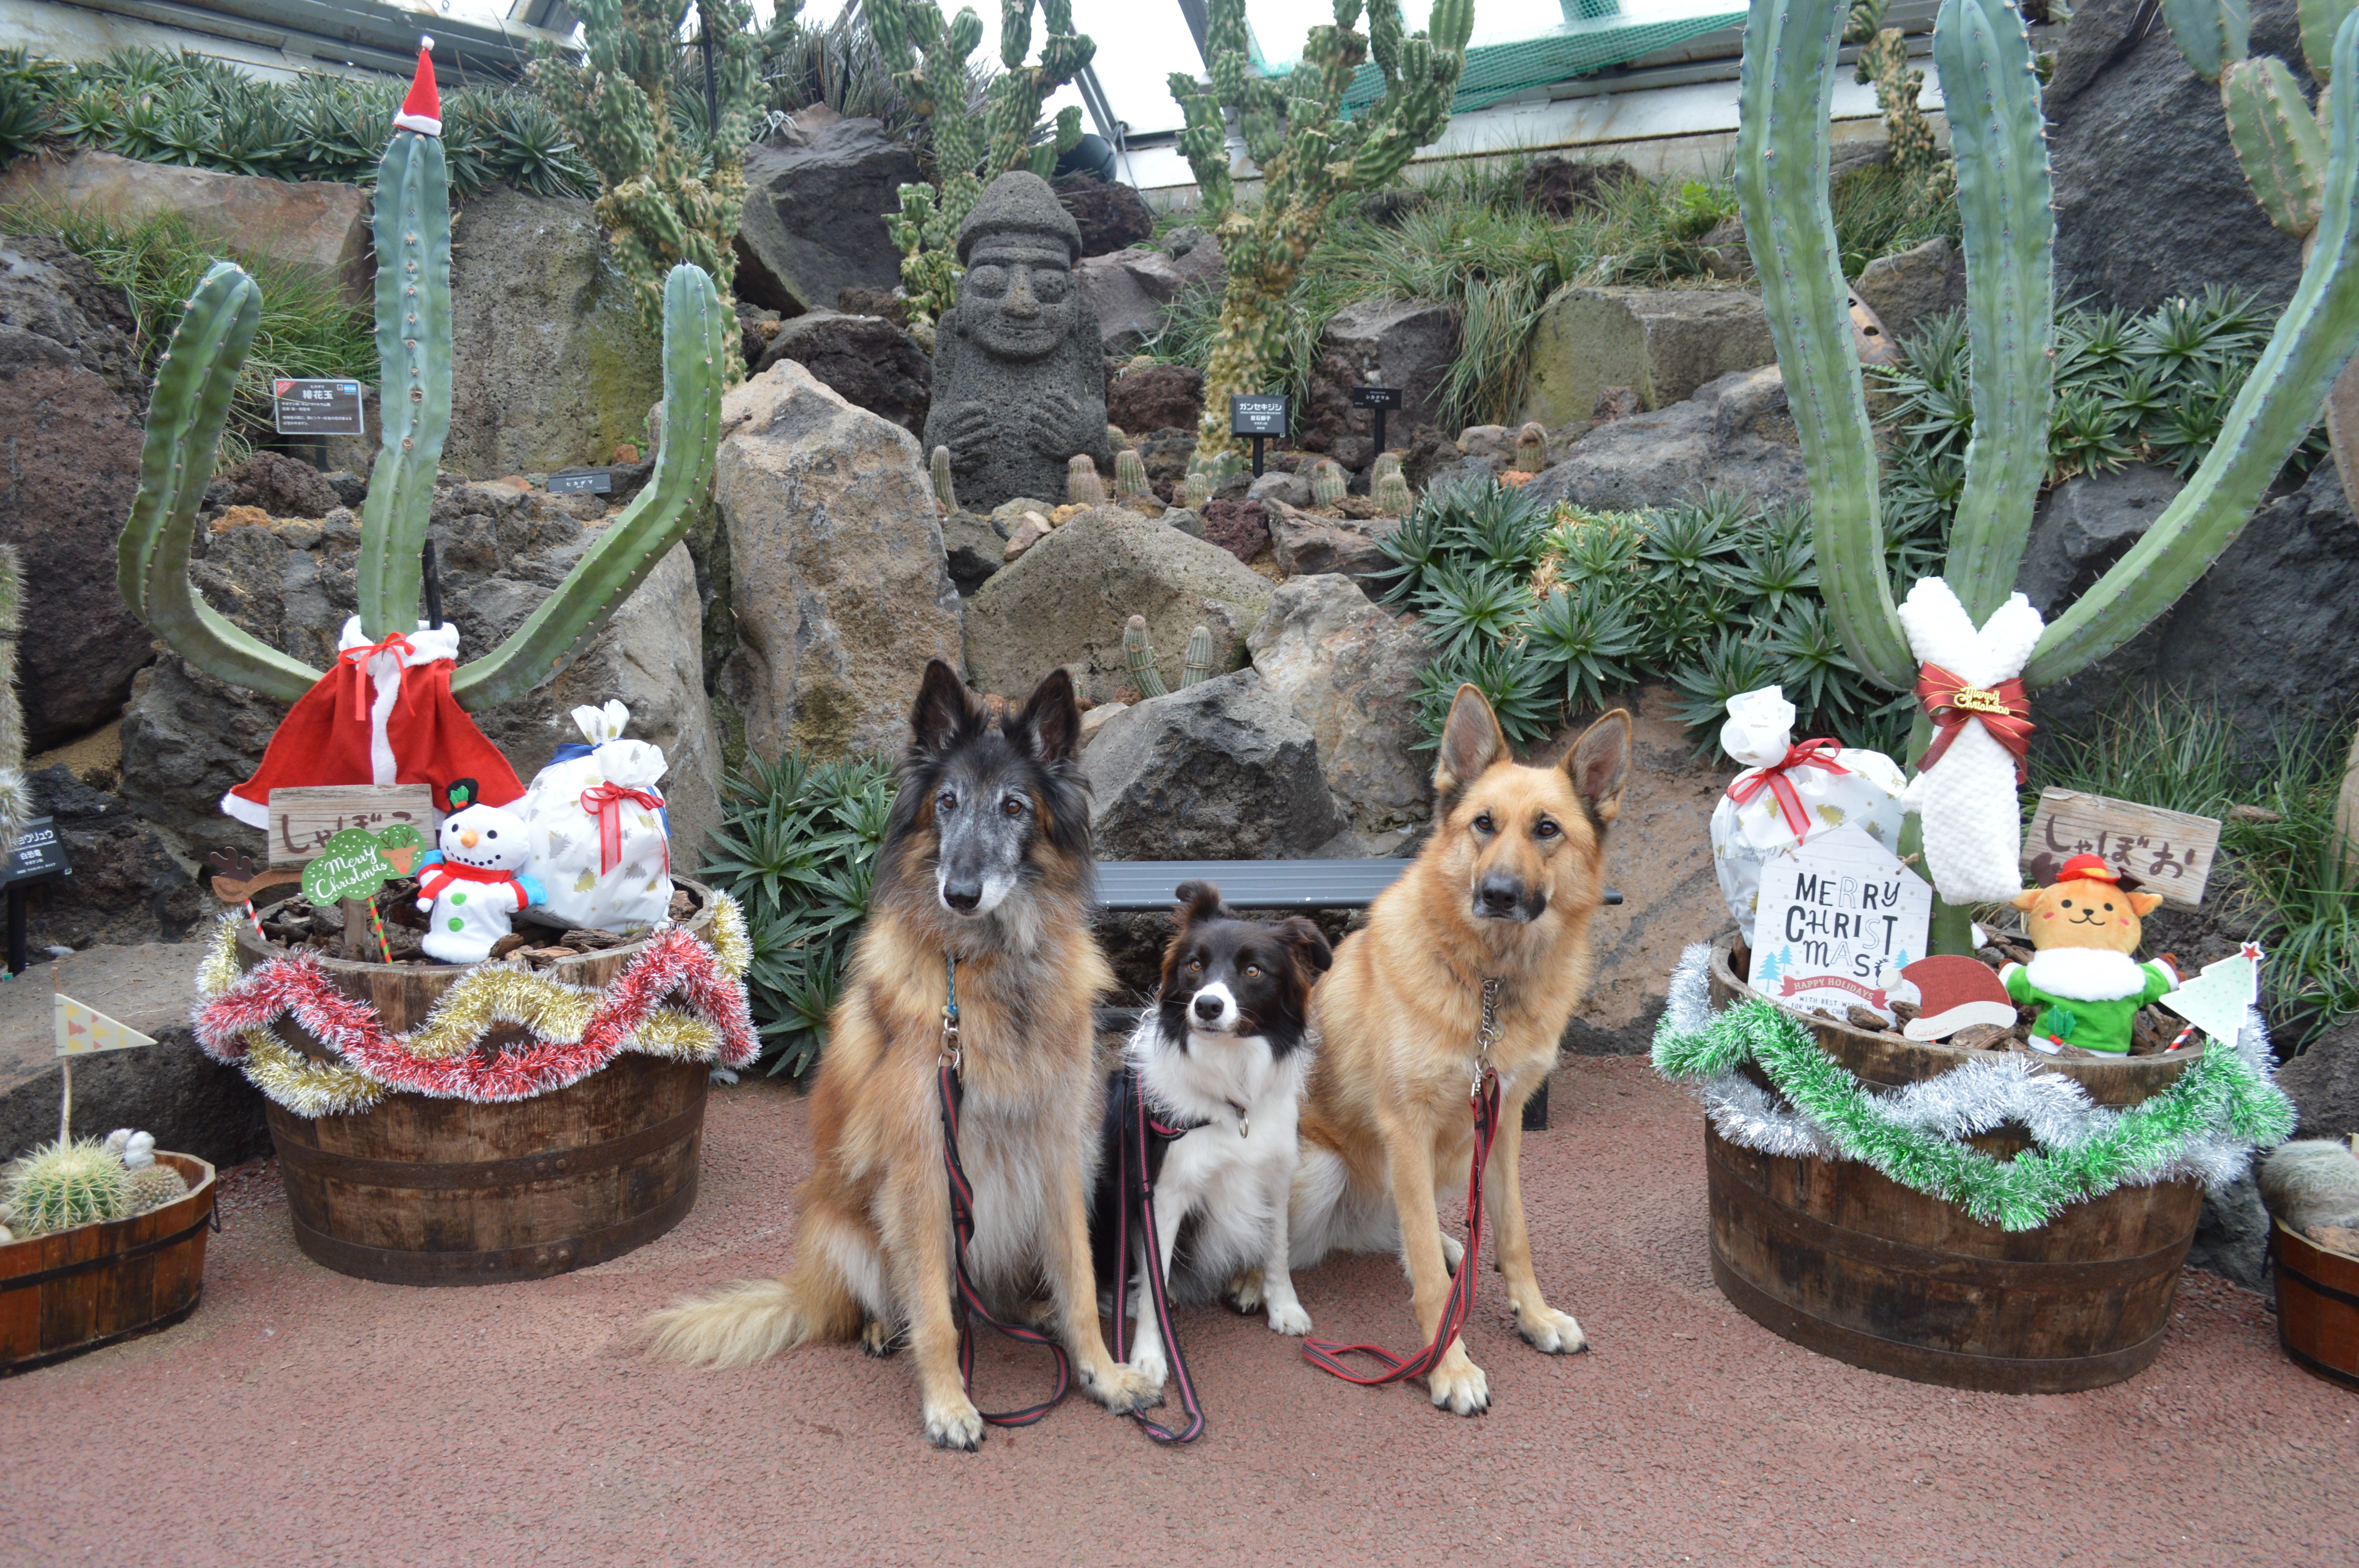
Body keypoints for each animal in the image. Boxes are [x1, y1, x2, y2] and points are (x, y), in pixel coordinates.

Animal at [642, 655, 1165, 1443]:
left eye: (1015, 807)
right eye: (946, 802)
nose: (961, 893)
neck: (985, 969)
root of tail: (807, 1288)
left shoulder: (1058, 1149)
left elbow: (1076, 1277)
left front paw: (1101, 1372)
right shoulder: (923, 1169)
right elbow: (938, 1319)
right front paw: (948, 1402)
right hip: (851, 1227)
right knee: (897, 1305)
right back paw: (880, 1330)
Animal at [1292, 679, 1623, 1415]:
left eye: (1547, 830)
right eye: (1483, 824)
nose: (1497, 895)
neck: (1487, 985)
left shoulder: (1502, 1127)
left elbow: (1514, 1233)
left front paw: (1534, 1316)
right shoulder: (1407, 1130)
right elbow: (1430, 1282)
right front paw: (1448, 1366)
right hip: (1317, 1163)